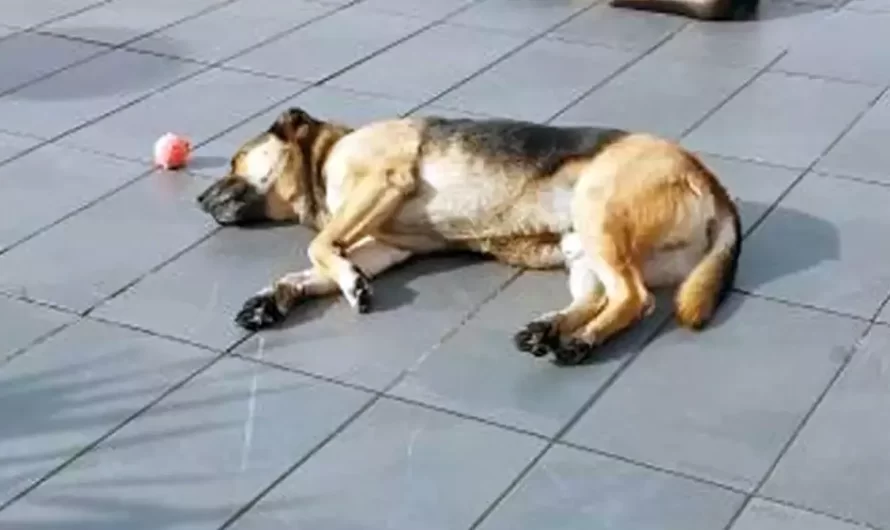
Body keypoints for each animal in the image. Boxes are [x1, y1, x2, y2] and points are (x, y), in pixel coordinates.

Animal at [196, 107, 744, 364]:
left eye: (234, 160)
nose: (198, 199)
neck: (326, 154)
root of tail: (709, 180)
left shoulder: (381, 182)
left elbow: (319, 246)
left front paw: (347, 285)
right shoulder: (384, 247)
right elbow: (319, 263)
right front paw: (276, 297)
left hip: (596, 210)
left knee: (634, 297)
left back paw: (579, 343)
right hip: (580, 245)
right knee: (604, 296)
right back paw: (551, 329)